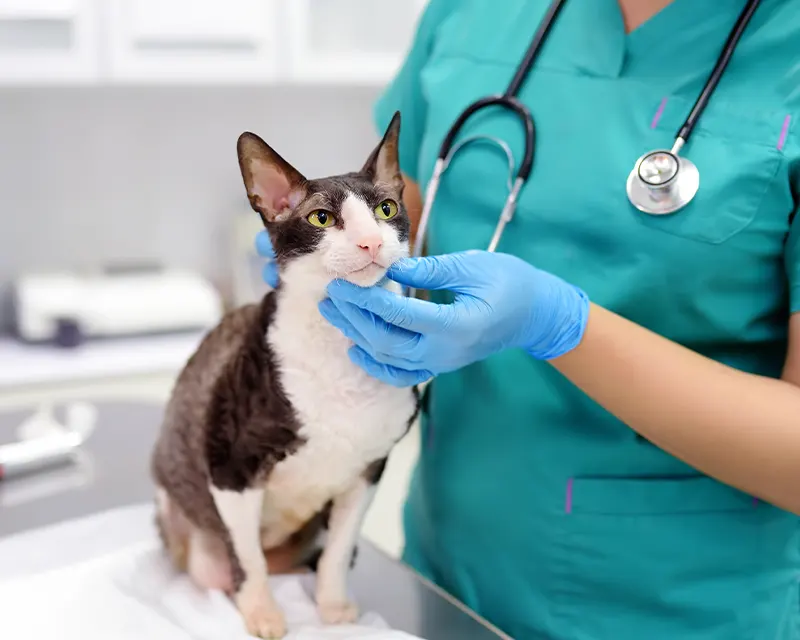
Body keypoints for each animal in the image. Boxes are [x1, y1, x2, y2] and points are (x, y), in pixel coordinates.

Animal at [152, 112, 422, 636]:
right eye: (321, 218)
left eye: (386, 208)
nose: (373, 241)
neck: (339, 348)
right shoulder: (230, 467)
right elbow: (248, 559)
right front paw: (262, 612)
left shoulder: (369, 471)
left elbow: (338, 550)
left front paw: (333, 605)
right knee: (230, 563)